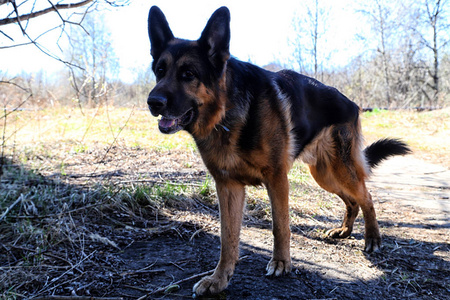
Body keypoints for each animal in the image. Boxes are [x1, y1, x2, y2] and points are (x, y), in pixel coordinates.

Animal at [147, 5, 412, 296]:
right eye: (160, 71)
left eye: (189, 74)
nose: (153, 102)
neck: (227, 114)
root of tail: (351, 103)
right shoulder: (227, 187)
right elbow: (227, 238)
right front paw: (219, 279)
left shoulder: (277, 179)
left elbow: (280, 226)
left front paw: (282, 264)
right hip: (324, 175)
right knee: (352, 200)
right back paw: (343, 231)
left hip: (340, 170)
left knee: (366, 196)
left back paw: (372, 238)